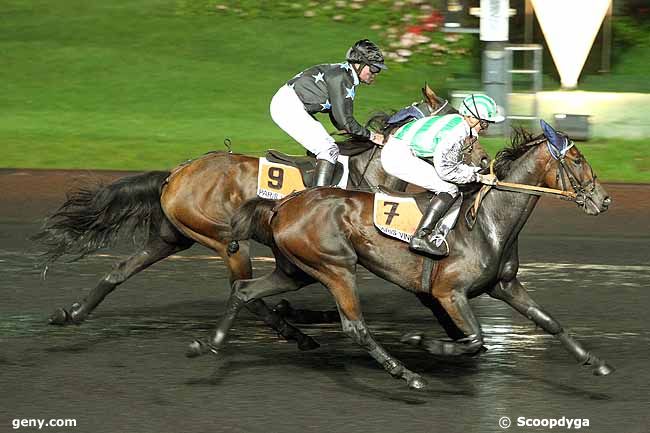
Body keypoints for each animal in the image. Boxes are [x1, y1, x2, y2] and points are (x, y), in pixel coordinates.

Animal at [33, 86, 484, 350]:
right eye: (466, 134)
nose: (482, 163)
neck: (369, 171)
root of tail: (176, 172)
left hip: (173, 237)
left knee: (120, 271)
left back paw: (71, 313)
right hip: (226, 241)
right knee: (244, 293)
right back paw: (293, 333)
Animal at [189, 120, 612, 388]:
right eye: (577, 160)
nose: (603, 200)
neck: (488, 222)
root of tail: (283, 203)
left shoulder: (503, 285)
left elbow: (548, 321)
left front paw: (594, 361)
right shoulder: (447, 292)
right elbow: (474, 339)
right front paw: (421, 342)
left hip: (297, 270)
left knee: (244, 290)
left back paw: (210, 343)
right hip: (336, 267)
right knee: (355, 327)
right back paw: (405, 373)